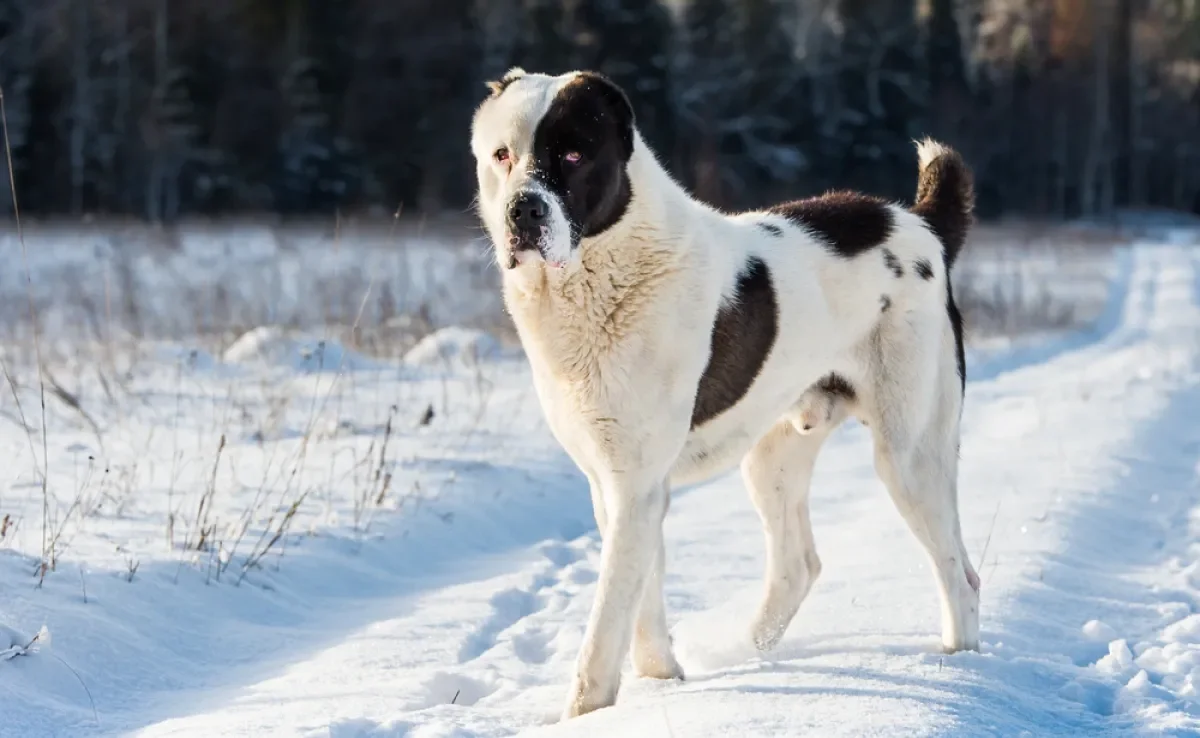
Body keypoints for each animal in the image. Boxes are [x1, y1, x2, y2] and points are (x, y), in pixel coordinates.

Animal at [470, 69, 984, 720]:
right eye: (502, 156)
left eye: (572, 153)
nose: (524, 209)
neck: (605, 268)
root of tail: (921, 223)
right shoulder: (615, 485)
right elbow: (641, 596)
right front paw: (663, 681)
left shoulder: (634, 484)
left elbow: (609, 612)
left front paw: (586, 713)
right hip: (773, 456)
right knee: (798, 564)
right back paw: (745, 654)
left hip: (911, 453)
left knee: (959, 574)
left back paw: (961, 672)